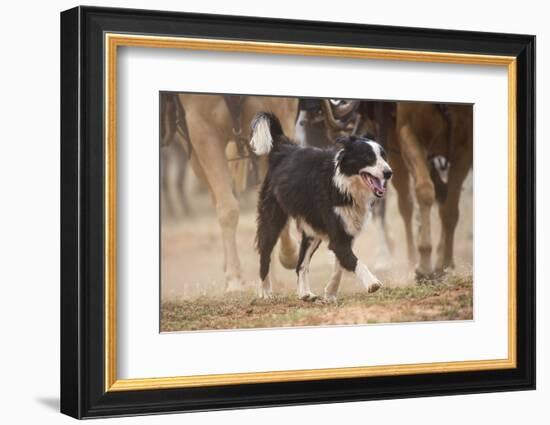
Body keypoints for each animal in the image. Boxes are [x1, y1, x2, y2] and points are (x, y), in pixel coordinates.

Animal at [250, 111, 392, 300]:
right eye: (368, 157)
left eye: (383, 155)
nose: (389, 173)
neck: (345, 184)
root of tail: (285, 149)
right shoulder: (338, 236)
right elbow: (354, 261)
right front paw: (372, 282)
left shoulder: (345, 232)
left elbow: (340, 266)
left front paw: (330, 293)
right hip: (272, 218)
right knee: (265, 255)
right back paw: (265, 291)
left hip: (312, 230)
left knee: (301, 264)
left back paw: (305, 294)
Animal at [392, 101, 474, 276]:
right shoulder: (407, 128)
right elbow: (425, 190)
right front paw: (424, 264)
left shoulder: (466, 145)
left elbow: (450, 210)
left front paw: (445, 263)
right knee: (406, 205)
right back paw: (412, 259)